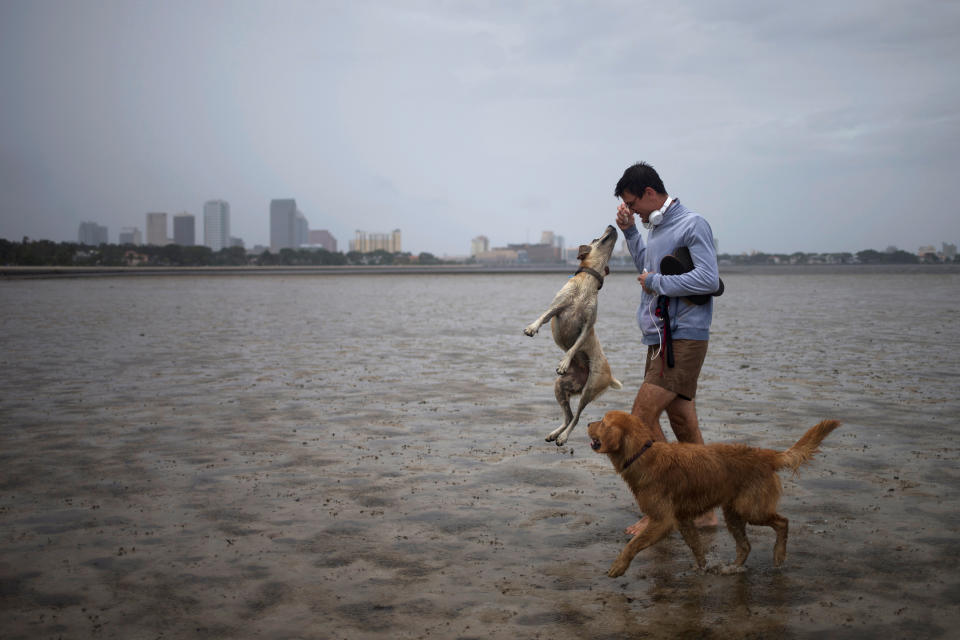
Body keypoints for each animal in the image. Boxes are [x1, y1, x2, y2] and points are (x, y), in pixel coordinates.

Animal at [524, 225, 624, 444]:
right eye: (596, 238)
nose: (612, 226)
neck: (588, 282)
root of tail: (610, 376)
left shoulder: (587, 326)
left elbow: (575, 346)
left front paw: (564, 362)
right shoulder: (556, 307)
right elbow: (542, 316)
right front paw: (532, 328)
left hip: (589, 388)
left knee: (576, 417)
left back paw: (563, 437)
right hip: (560, 386)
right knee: (569, 416)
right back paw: (555, 434)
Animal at [584, 412, 840, 576]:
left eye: (603, 422)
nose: (587, 422)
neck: (642, 454)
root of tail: (766, 454)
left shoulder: (663, 521)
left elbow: (633, 544)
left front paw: (618, 567)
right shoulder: (683, 519)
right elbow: (696, 547)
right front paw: (702, 568)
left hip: (752, 509)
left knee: (783, 522)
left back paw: (778, 555)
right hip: (733, 514)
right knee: (745, 546)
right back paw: (732, 568)